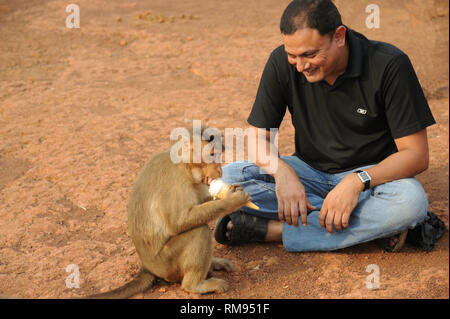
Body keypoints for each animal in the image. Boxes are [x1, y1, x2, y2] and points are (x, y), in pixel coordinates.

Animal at [81, 126, 253, 298]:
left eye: (217, 154)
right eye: (211, 155)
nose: (220, 170)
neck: (185, 165)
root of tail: (147, 267)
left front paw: (231, 191)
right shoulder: (175, 181)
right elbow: (177, 222)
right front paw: (234, 200)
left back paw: (212, 264)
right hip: (167, 263)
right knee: (200, 231)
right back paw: (194, 285)